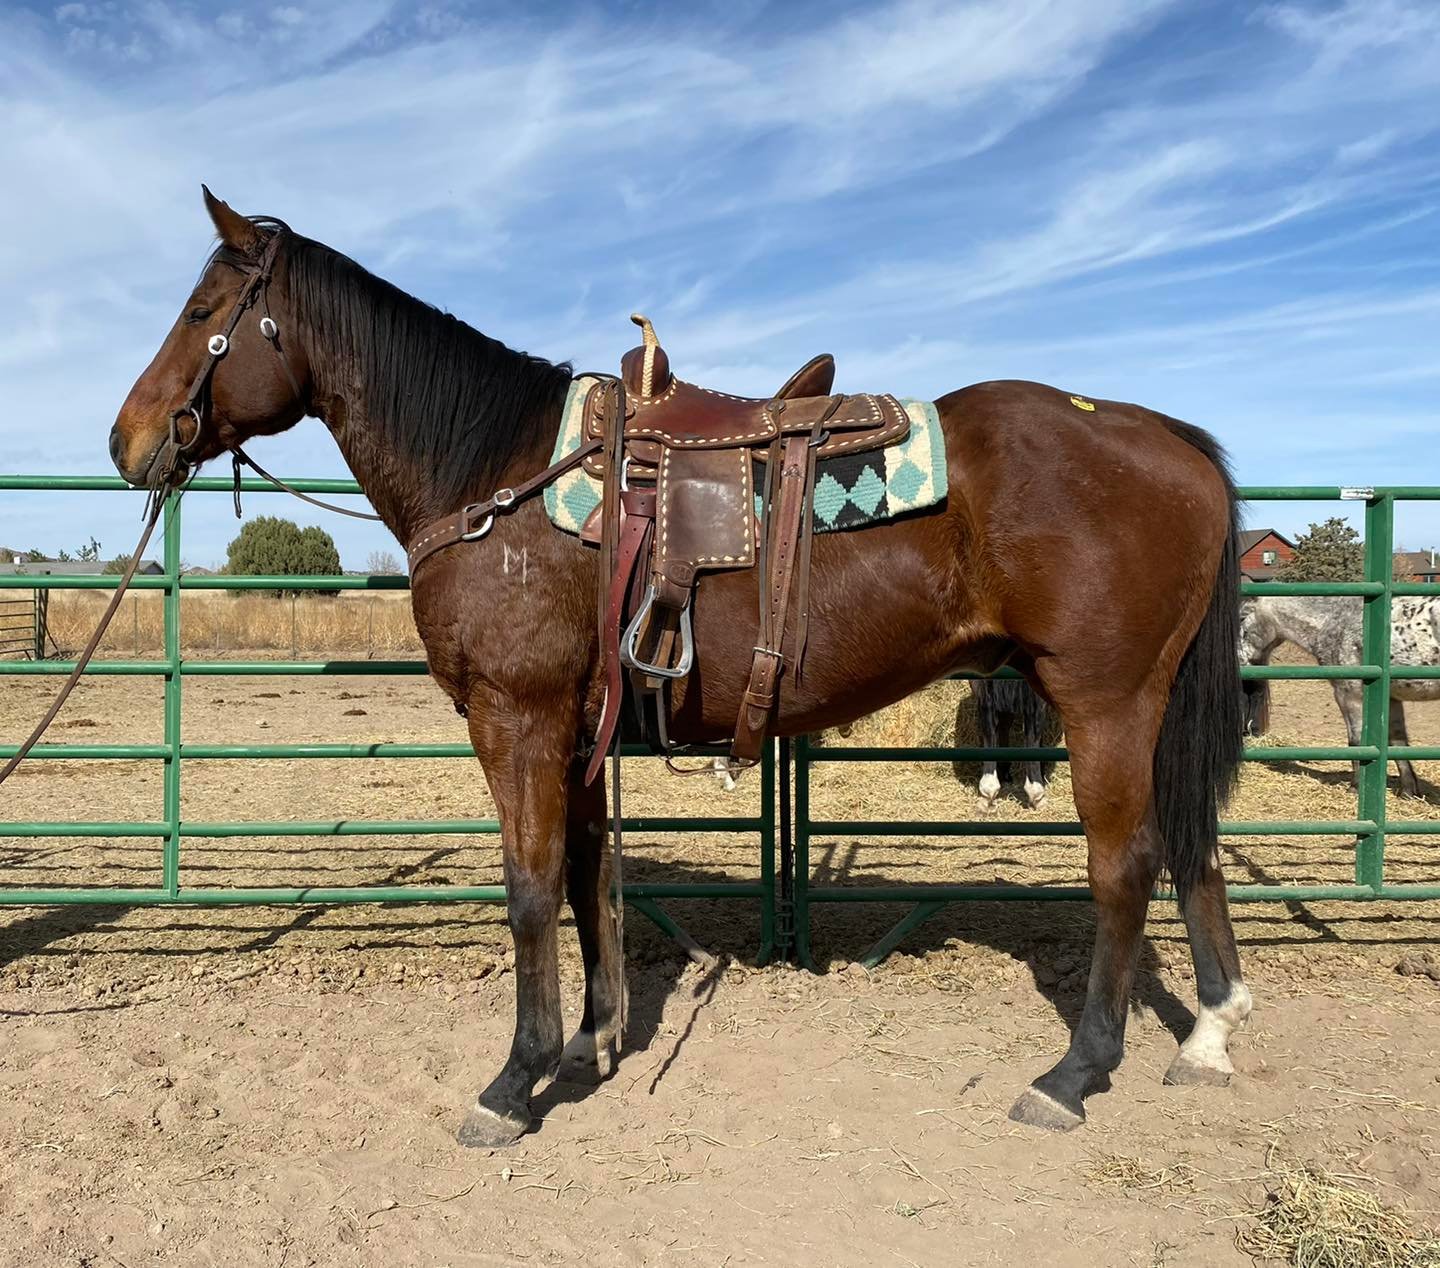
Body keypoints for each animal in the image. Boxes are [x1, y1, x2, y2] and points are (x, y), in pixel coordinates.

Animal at [1240, 593, 1439, 799]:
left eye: (1242, 617)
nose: (1240, 661)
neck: (1335, 621)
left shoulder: (1349, 695)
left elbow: (1356, 740)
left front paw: (1355, 787)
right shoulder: (1392, 699)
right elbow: (1398, 740)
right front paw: (1408, 790)